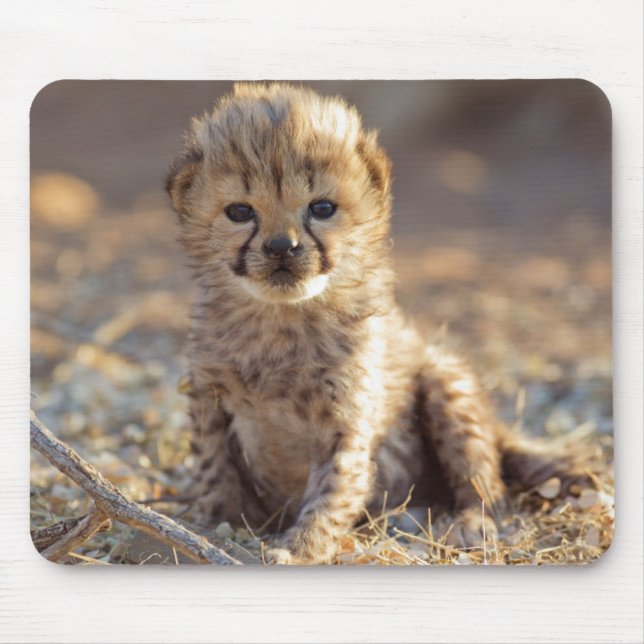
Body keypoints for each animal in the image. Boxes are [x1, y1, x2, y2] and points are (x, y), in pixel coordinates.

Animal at [165, 82, 589, 564]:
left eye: (322, 208)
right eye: (240, 212)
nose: (281, 248)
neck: (281, 320)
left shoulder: (346, 421)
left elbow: (334, 490)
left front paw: (299, 548)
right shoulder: (209, 397)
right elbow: (213, 470)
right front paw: (219, 526)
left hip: (446, 381)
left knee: (485, 479)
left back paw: (467, 523)